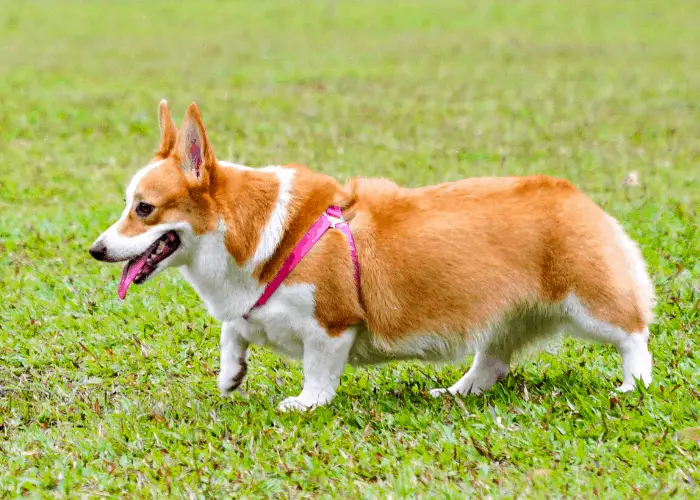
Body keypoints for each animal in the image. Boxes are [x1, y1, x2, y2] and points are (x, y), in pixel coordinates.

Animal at [90, 100, 652, 410]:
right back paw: (457, 392)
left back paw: (634, 385)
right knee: (492, 361)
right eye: (126, 204)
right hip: (504, 317)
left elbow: (318, 371)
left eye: (144, 208)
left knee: (634, 334)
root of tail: (579, 197)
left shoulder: (331, 324)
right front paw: (231, 374)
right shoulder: (252, 308)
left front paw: (305, 403)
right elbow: (233, 329)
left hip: (589, 304)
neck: (249, 230)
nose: (96, 250)